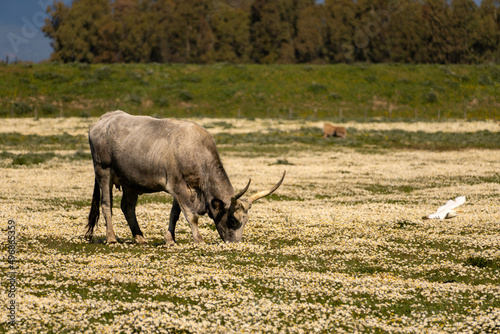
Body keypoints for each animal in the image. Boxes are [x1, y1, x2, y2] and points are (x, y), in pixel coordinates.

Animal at [86, 111, 286, 244]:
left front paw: (170, 240)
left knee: (127, 207)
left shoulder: (183, 189)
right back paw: (111, 238)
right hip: (103, 171)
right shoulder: (178, 186)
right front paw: (199, 240)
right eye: (232, 220)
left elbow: (174, 214)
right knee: (106, 204)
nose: (235, 244)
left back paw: (139, 238)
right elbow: (191, 215)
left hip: (131, 181)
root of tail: (103, 120)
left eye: (246, 221)